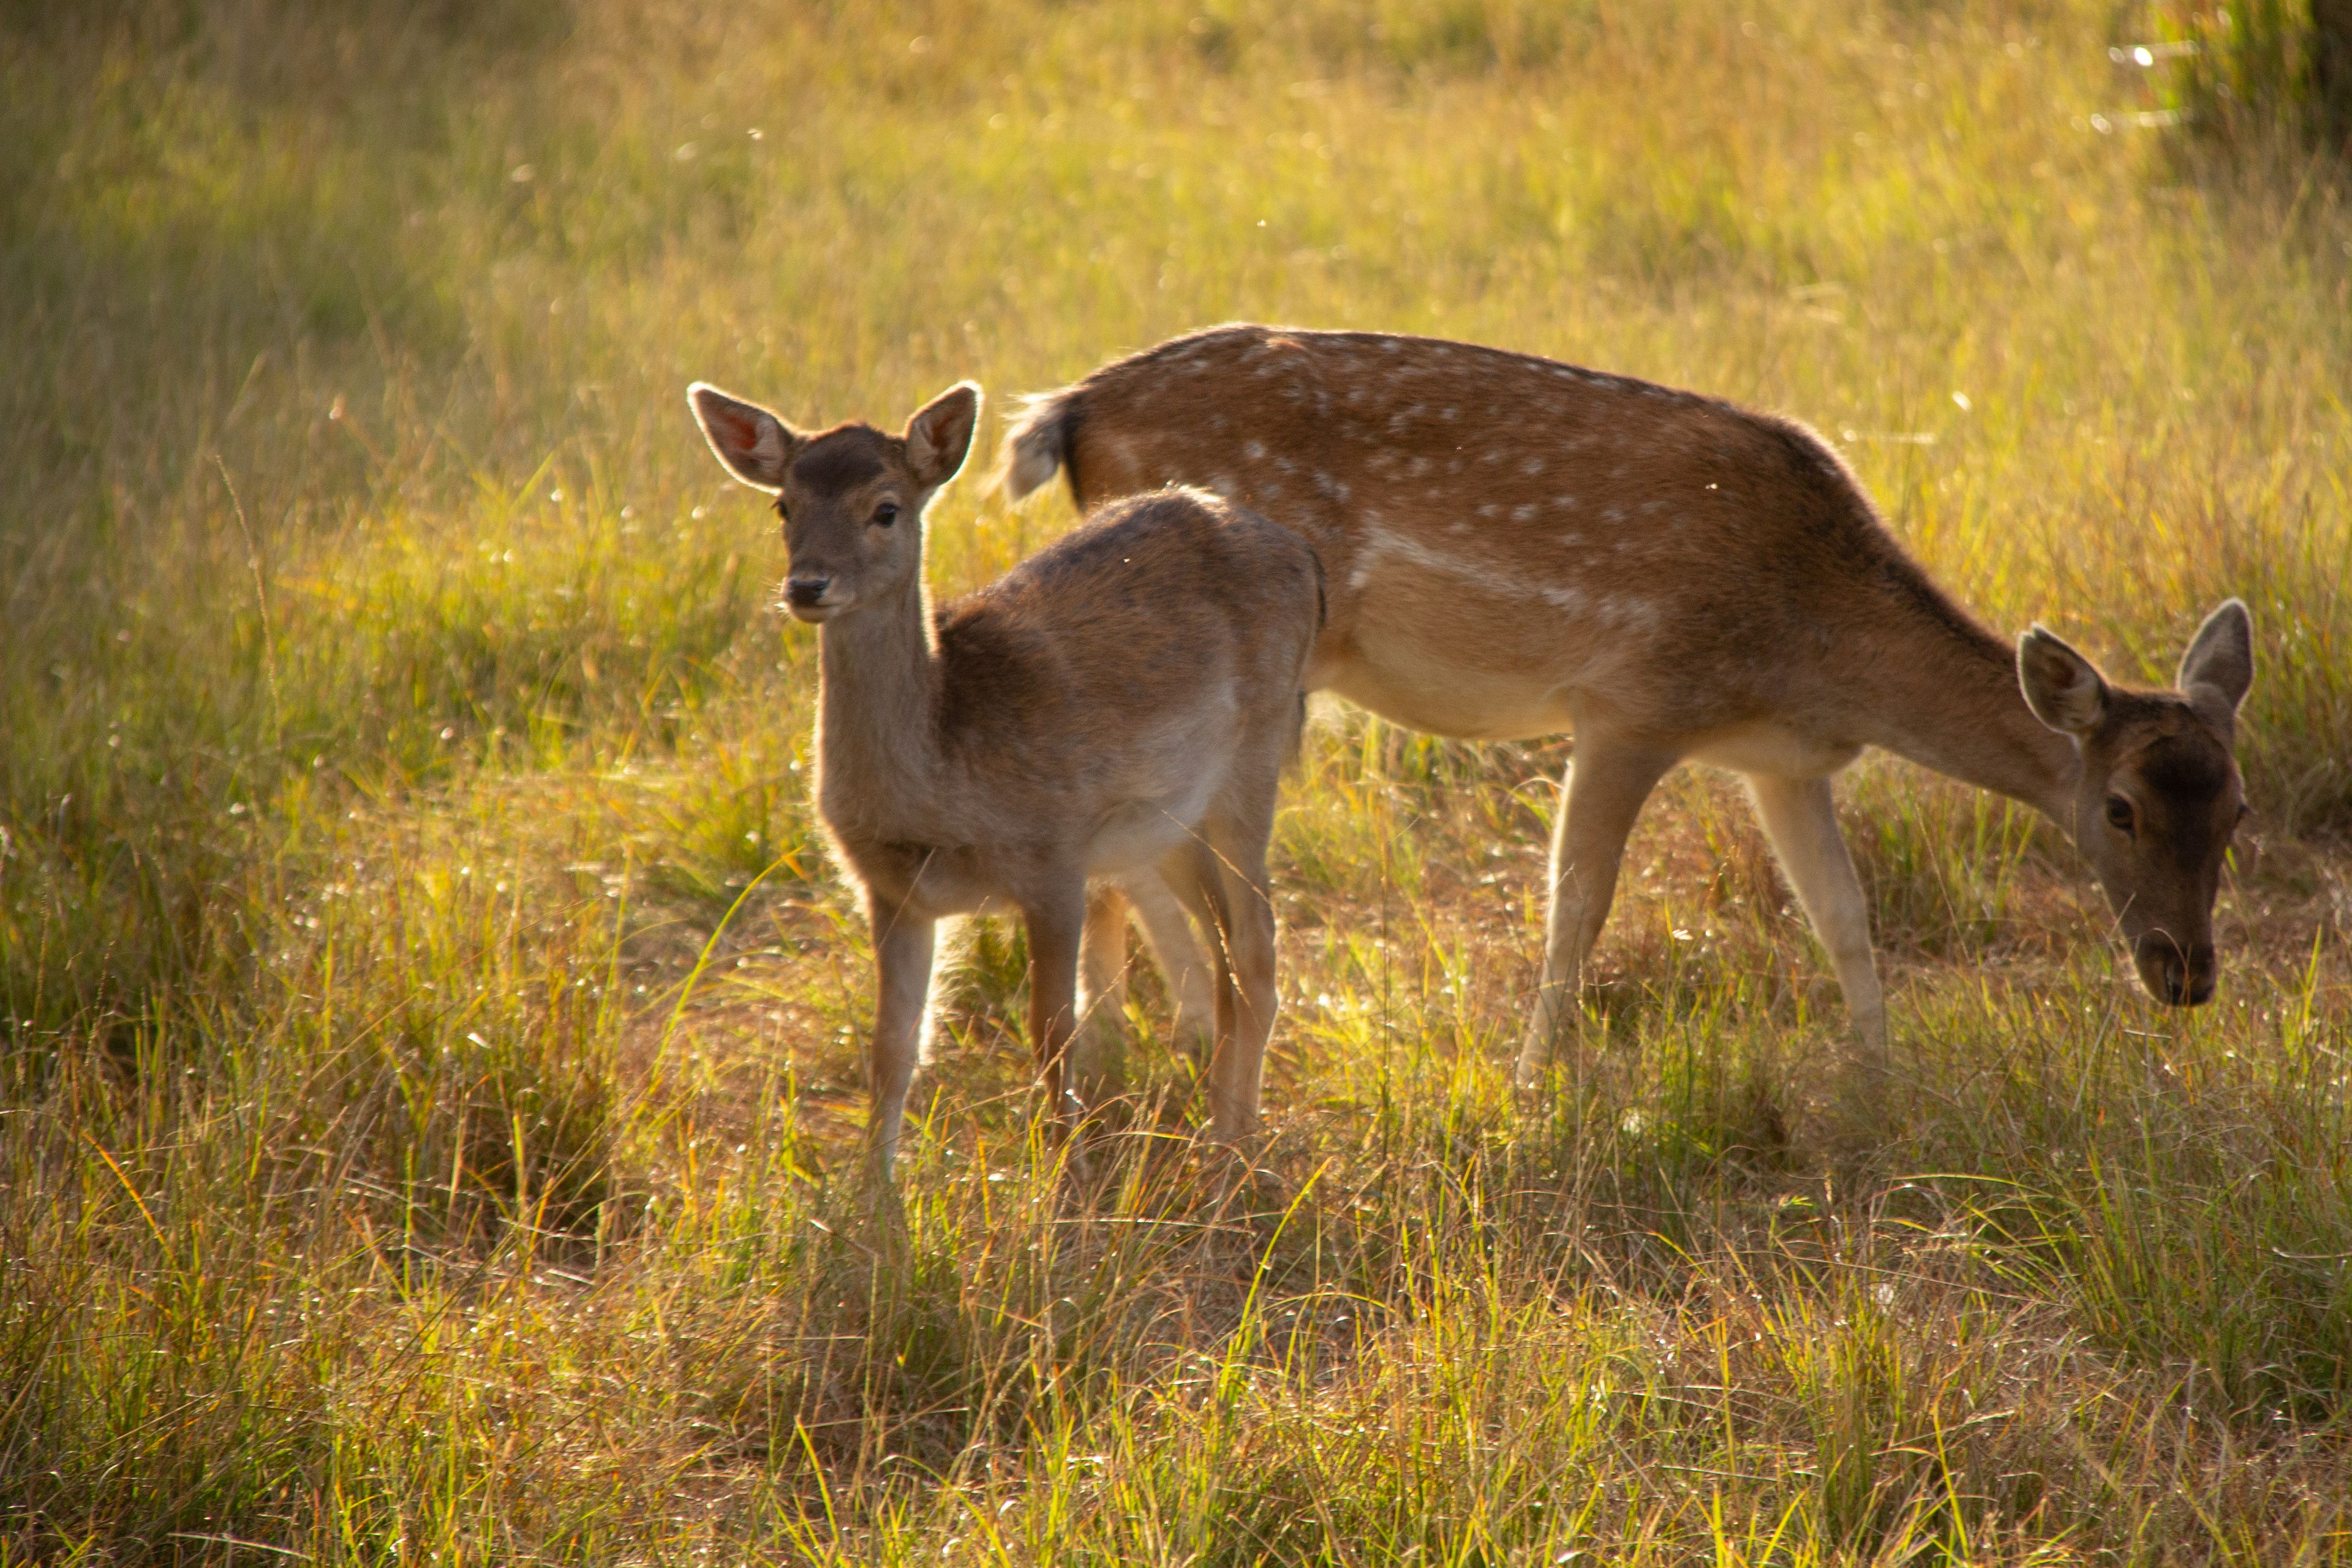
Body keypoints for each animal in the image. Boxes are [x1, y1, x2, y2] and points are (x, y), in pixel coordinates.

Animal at [687, 377, 1323, 1176]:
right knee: (1228, 959)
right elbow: (892, 1050)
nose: (807, 586)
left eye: (886, 508)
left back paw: (1229, 1158)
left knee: (1260, 951)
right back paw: (1229, 1132)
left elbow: (1052, 1033)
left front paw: (1066, 1184)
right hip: (1170, 824)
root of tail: (1304, 556)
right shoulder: (890, 889)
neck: (939, 783)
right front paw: (875, 1199)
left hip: (1254, 760)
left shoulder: (1055, 855)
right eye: (784, 507)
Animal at [998, 324, 2256, 1085]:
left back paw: (1126, 1049)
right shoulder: (1630, 702)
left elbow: (1844, 916)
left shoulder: (1784, 759)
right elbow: (1576, 908)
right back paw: (1149, 1046)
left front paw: (1882, 1080)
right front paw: (1532, 1085)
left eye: (2238, 810)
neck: (1819, 645)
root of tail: (1073, 409)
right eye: (2123, 808)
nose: (2189, 977)